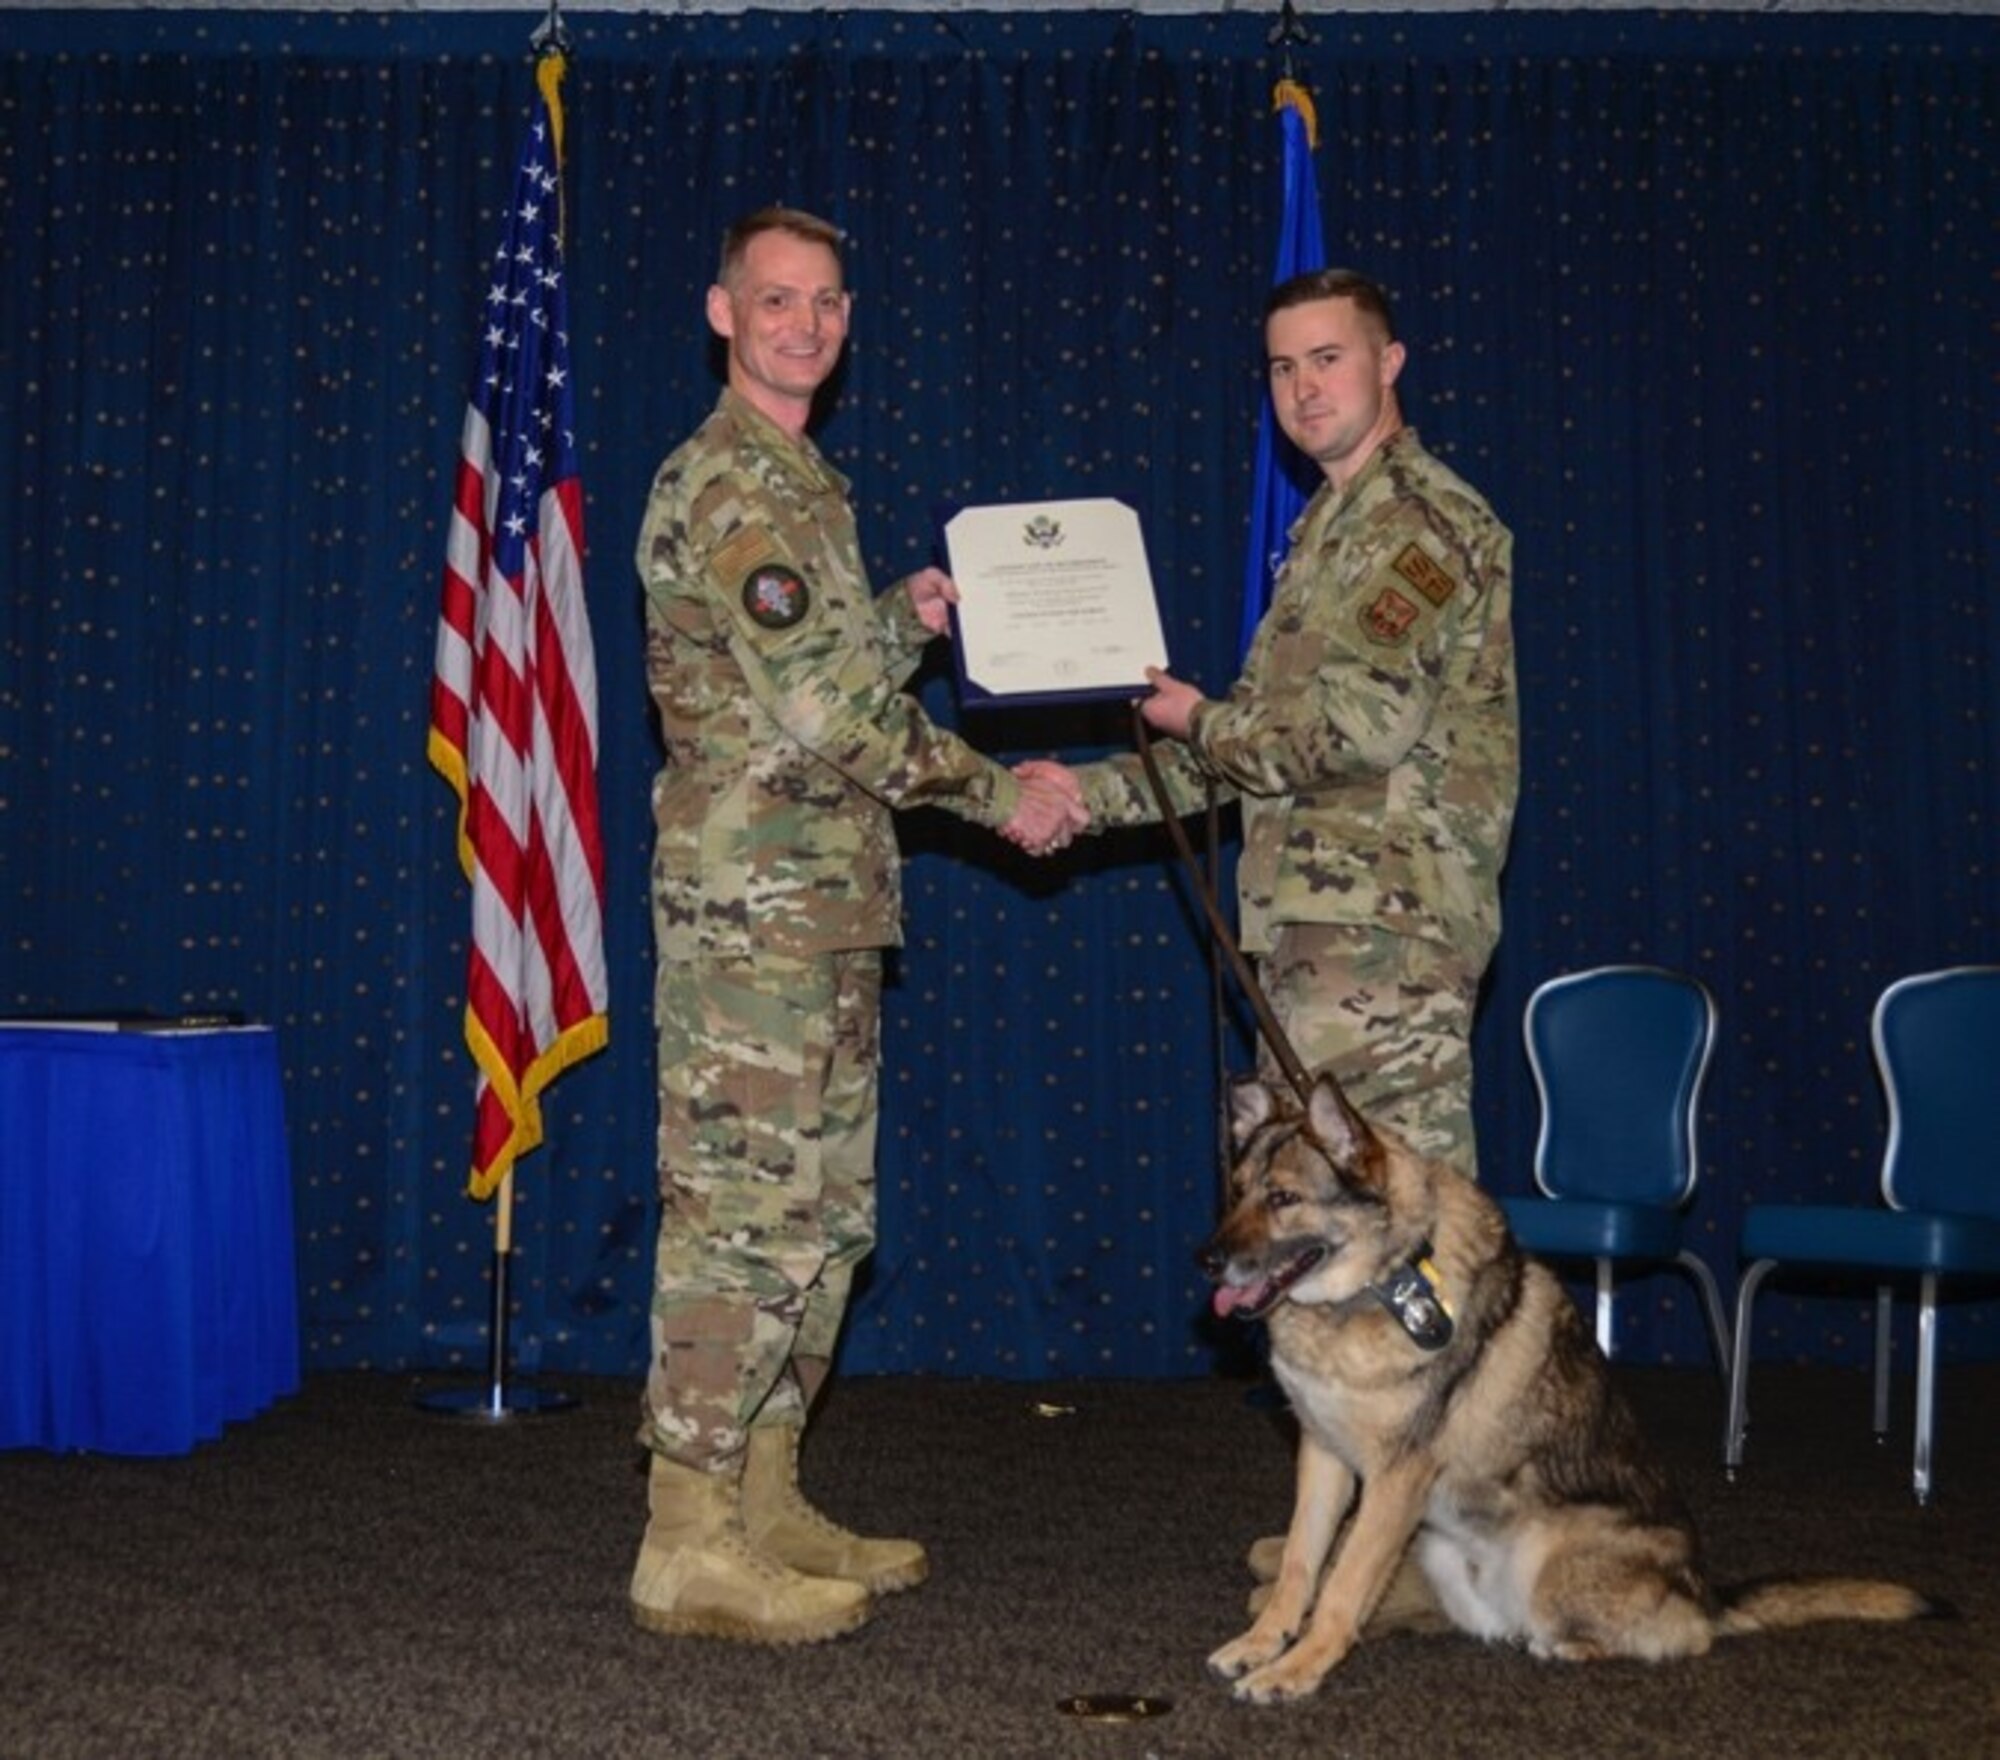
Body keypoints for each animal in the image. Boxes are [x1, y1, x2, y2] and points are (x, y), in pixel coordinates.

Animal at [1192, 1072, 1928, 1704]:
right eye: (1237, 1190)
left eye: (1284, 1200)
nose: (1206, 1260)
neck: (1381, 1284)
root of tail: (1708, 1592)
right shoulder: (1323, 1460)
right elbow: (1299, 1568)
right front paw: (1260, 1645)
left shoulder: (1395, 1480)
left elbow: (1340, 1588)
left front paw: (1295, 1672)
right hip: (1437, 1547)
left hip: (1552, 1566)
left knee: (1686, 1638)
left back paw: (1573, 1646)